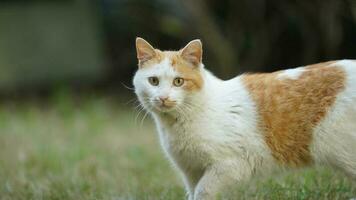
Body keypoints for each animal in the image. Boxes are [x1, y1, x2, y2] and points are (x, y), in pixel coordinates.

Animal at [131, 37, 356, 198]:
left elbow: (204, 191)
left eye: (178, 81)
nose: (163, 98)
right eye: (153, 81)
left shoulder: (231, 164)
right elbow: (194, 193)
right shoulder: (191, 172)